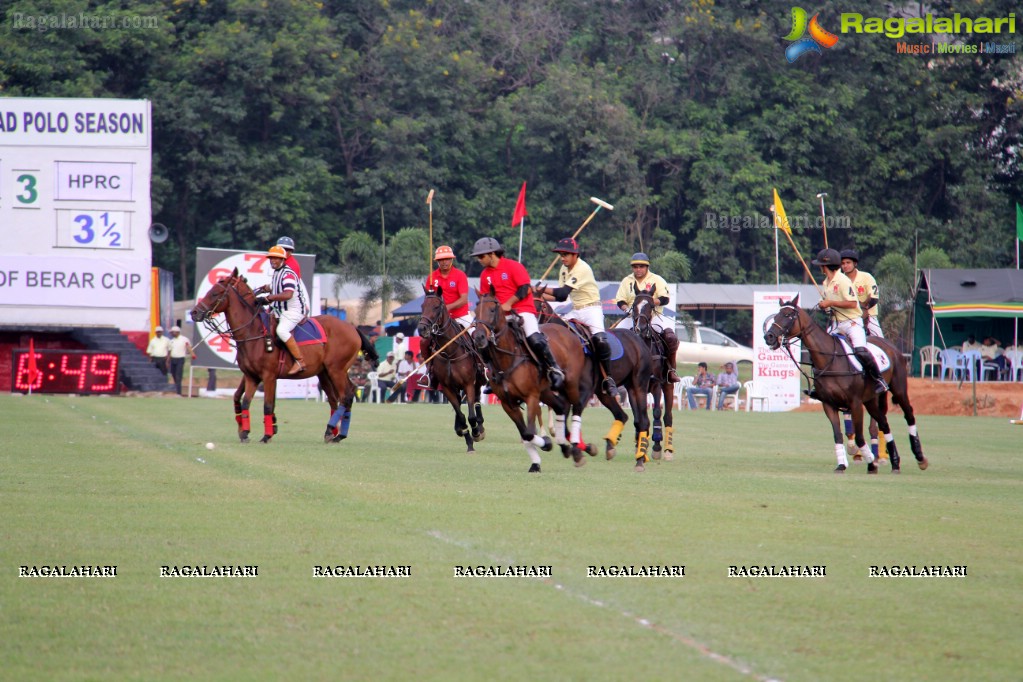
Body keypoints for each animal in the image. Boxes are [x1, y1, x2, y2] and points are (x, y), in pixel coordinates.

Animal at [190, 269, 378, 445]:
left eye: (215, 293)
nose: (194, 313)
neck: (252, 332)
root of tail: (353, 328)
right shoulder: (251, 376)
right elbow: (244, 401)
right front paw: (246, 432)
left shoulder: (268, 376)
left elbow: (267, 404)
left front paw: (266, 435)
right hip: (326, 372)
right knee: (339, 397)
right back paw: (333, 433)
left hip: (336, 369)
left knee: (345, 396)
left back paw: (335, 432)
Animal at [415, 288, 486, 453]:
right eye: (422, 306)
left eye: (436, 307)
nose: (422, 329)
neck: (450, 352)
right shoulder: (446, 387)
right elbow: (461, 414)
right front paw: (468, 441)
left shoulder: (468, 383)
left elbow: (471, 415)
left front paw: (476, 432)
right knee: (459, 404)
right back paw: (459, 429)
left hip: (477, 380)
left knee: (477, 401)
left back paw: (480, 427)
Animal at [472, 290, 597, 472]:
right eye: (475, 312)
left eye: (492, 310)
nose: (479, 337)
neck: (507, 359)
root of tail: (567, 331)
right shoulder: (508, 403)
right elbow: (525, 433)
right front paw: (536, 462)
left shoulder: (531, 396)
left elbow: (530, 432)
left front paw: (546, 443)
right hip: (545, 391)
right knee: (561, 407)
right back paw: (565, 446)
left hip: (570, 383)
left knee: (577, 407)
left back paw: (575, 449)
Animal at [630, 290, 679, 462]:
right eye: (633, 305)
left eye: (651, 306)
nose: (641, 328)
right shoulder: (633, 388)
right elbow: (638, 417)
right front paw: (640, 444)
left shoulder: (656, 384)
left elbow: (657, 412)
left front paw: (656, 446)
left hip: (668, 384)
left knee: (668, 416)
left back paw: (668, 450)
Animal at [769, 296, 928, 478]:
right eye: (775, 316)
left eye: (788, 315)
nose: (769, 336)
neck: (830, 360)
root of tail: (890, 344)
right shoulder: (828, 404)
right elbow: (837, 435)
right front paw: (842, 465)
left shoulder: (855, 403)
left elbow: (859, 436)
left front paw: (871, 463)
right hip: (871, 400)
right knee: (884, 423)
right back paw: (895, 462)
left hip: (899, 389)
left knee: (909, 415)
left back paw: (920, 457)